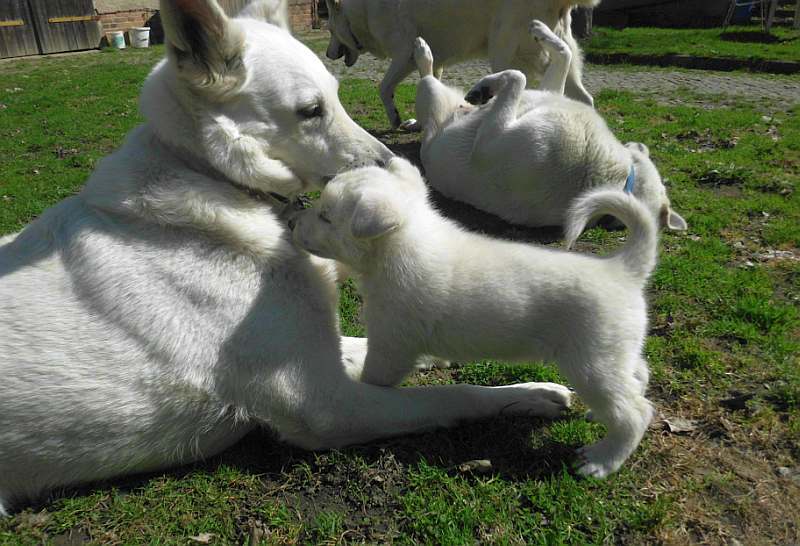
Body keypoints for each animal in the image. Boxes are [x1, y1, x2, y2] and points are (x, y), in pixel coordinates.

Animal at [290, 157, 660, 476]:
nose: (292, 222)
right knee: (638, 377)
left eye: (326, 216)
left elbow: (374, 380)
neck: (402, 245)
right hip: (614, 353)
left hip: (591, 365)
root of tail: (623, 269)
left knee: (636, 412)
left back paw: (602, 460)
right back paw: (600, 416)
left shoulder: (391, 345)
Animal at [326, 0, 600, 127]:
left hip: (503, 55)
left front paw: (395, 118)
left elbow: (383, 89)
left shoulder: (403, 56)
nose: (327, 55)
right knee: (584, 98)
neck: (360, 12)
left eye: (328, 29)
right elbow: (429, 85)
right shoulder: (432, 63)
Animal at [412, 22, 688, 232]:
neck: (615, 177)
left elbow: (518, 76)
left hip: (430, 95)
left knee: (428, 75)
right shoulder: (549, 94)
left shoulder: (487, 146)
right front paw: (542, 32)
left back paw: (423, 53)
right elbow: (563, 55)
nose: (639, 145)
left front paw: (485, 86)